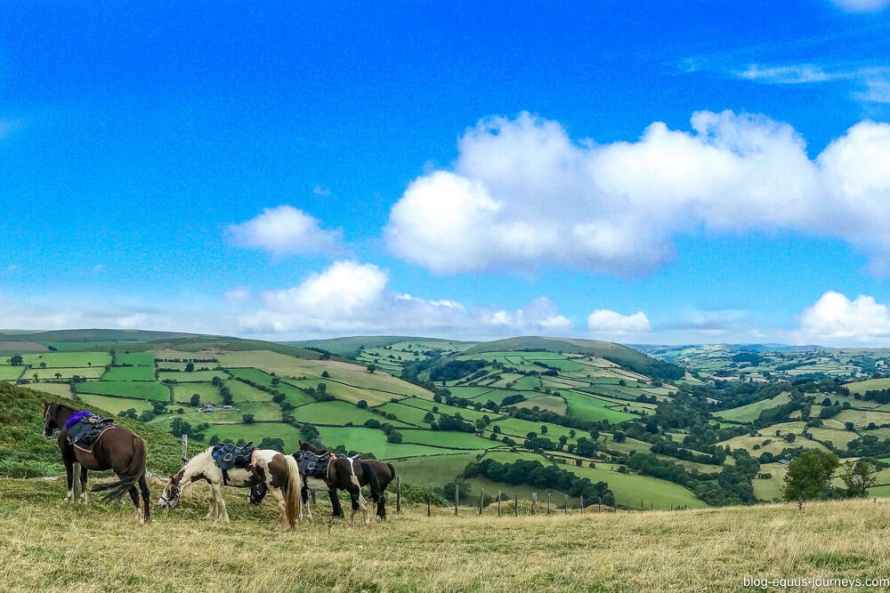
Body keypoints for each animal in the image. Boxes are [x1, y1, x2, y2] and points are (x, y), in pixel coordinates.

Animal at [156, 444, 302, 528]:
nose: (160, 505)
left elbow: (220, 501)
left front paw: (224, 519)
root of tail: (284, 457)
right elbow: (213, 499)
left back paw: (281, 526)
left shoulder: (216, 483)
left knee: (282, 505)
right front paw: (212, 516)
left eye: (169, 490)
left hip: (274, 488)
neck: (206, 463)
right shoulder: (212, 483)